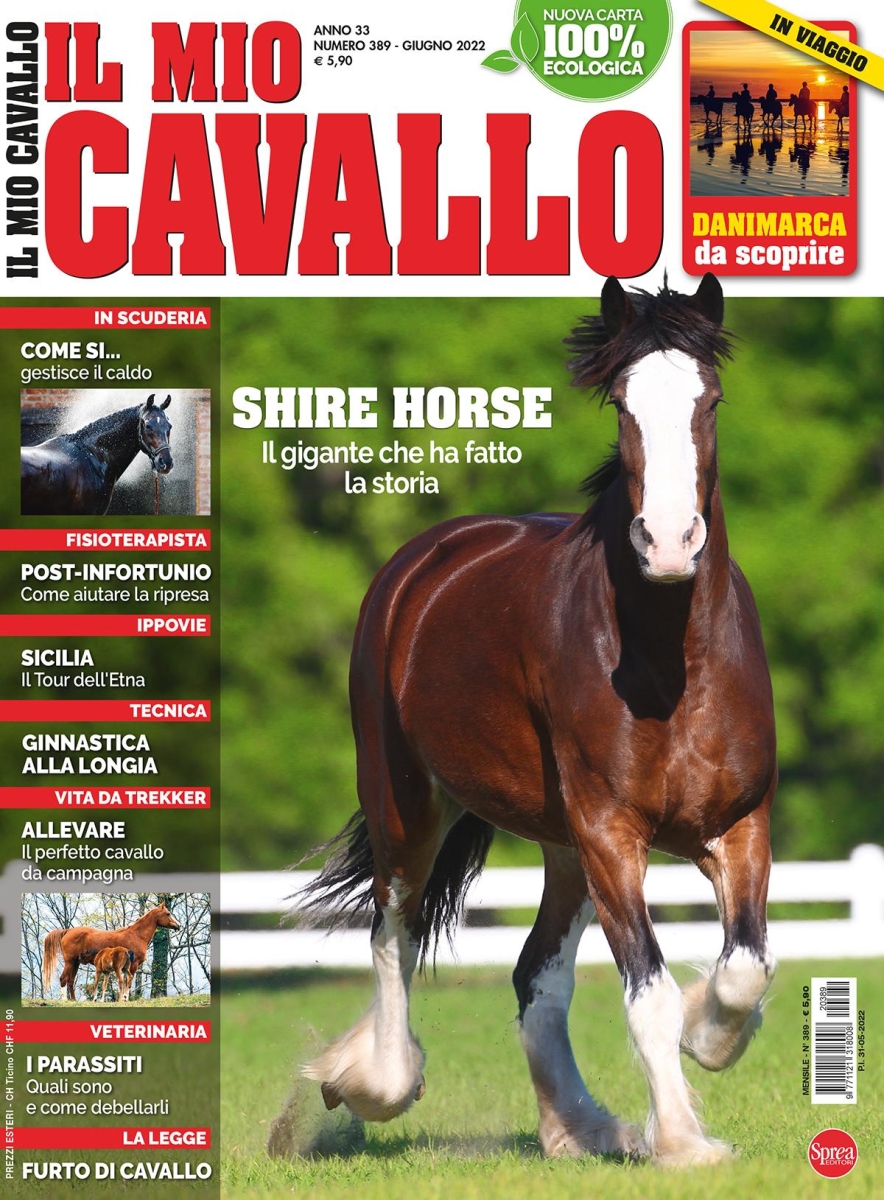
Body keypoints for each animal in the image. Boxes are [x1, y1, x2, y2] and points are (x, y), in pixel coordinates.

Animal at [42, 902, 180, 1000]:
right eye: (168, 913)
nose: (178, 925)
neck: (137, 935)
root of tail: (68, 931)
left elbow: (125, 981)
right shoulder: (133, 964)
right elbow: (128, 982)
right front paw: (125, 999)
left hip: (75, 963)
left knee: (70, 981)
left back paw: (74, 1000)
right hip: (70, 962)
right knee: (63, 979)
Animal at [298, 275, 778, 1168]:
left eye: (712, 401)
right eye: (623, 404)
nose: (668, 543)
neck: (672, 666)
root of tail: (424, 563)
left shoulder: (738, 824)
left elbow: (744, 969)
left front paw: (707, 1042)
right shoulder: (611, 832)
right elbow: (650, 993)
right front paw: (684, 1142)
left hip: (562, 848)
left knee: (535, 975)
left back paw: (581, 1128)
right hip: (410, 802)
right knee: (393, 933)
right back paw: (374, 1083)